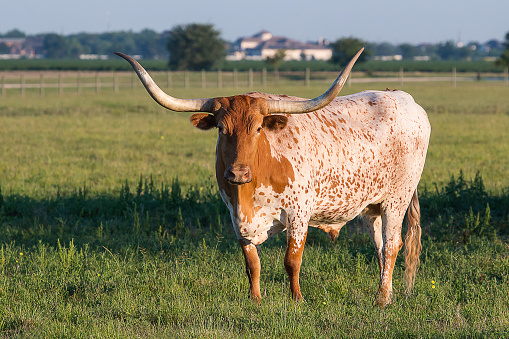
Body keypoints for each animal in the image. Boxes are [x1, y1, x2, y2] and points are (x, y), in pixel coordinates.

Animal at [117, 50, 430, 308]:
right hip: (371, 206)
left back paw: (382, 299)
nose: (237, 173)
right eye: (221, 128)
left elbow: (292, 261)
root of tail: (403, 97)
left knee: (392, 245)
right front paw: (255, 299)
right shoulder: (236, 217)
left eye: (258, 128)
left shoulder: (299, 213)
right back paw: (387, 292)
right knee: (380, 246)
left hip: (397, 199)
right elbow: (252, 263)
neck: (251, 190)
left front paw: (297, 299)